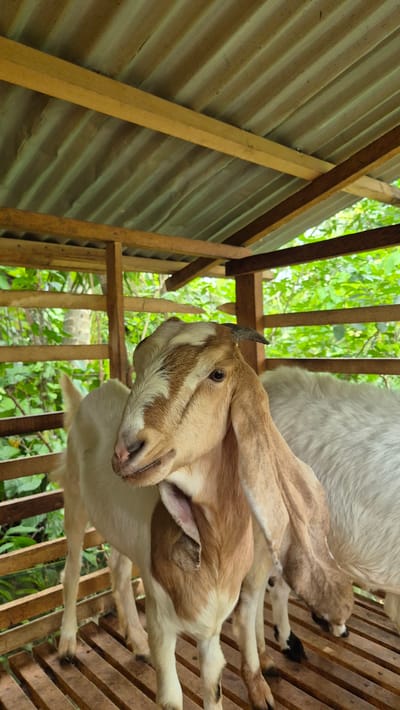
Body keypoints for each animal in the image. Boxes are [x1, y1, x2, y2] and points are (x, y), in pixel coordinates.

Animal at [56, 319, 352, 710]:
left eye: (217, 373)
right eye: (140, 360)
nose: (125, 451)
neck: (215, 553)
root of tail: (87, 397)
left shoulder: (212, 627)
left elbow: (214, 686)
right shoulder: (162, 624)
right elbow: (172, 697)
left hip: (117, 529)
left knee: (117, 569)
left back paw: (136, 642)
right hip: (74, 500)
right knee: (72, 570)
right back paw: (67, 646)